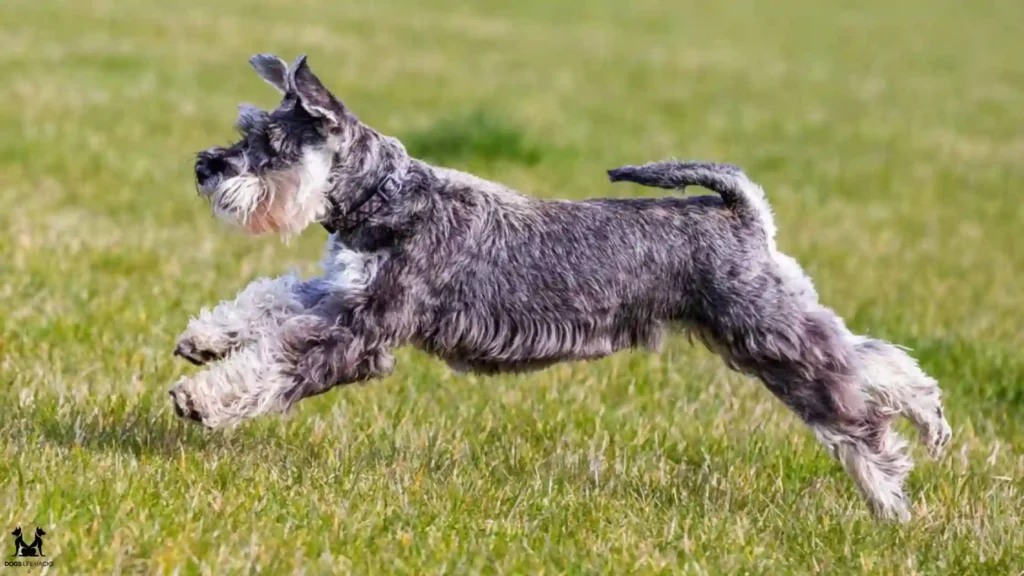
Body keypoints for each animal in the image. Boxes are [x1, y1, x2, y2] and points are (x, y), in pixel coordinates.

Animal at [174, 53, 950, 520]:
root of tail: (742, 214)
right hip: (774, 321)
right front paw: (205, 338)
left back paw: (889, 497)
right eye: (246, 128)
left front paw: (201, 399)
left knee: (854, 411)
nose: (205, 166)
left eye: (270, 144)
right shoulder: (340, 295)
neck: (384, 198)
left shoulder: (362, 332)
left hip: (765, 333)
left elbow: (277, 362)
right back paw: (931, 420)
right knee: (874, 358)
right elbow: (271, 299)